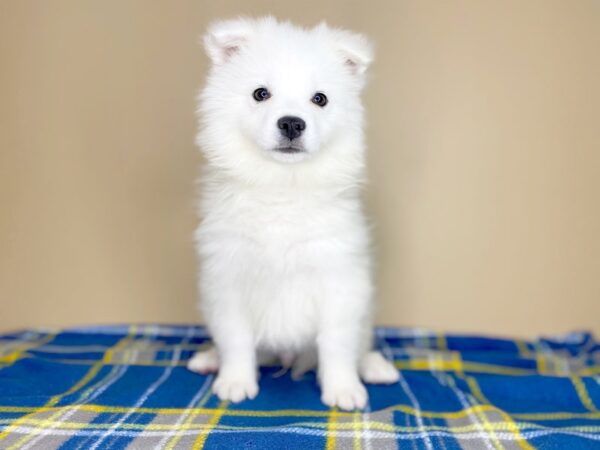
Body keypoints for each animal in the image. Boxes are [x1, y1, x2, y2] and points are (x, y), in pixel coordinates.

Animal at [185, 16, 396, 412]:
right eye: (260, 93)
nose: (292, 123)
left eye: (320, 99)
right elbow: (235, 338)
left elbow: (336, 344)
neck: (283, 184)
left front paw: (343, 389)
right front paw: (236, 382)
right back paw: (209, 359)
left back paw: (375, 367)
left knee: (361, 344)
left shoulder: (339, 278)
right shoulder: (228, 278)